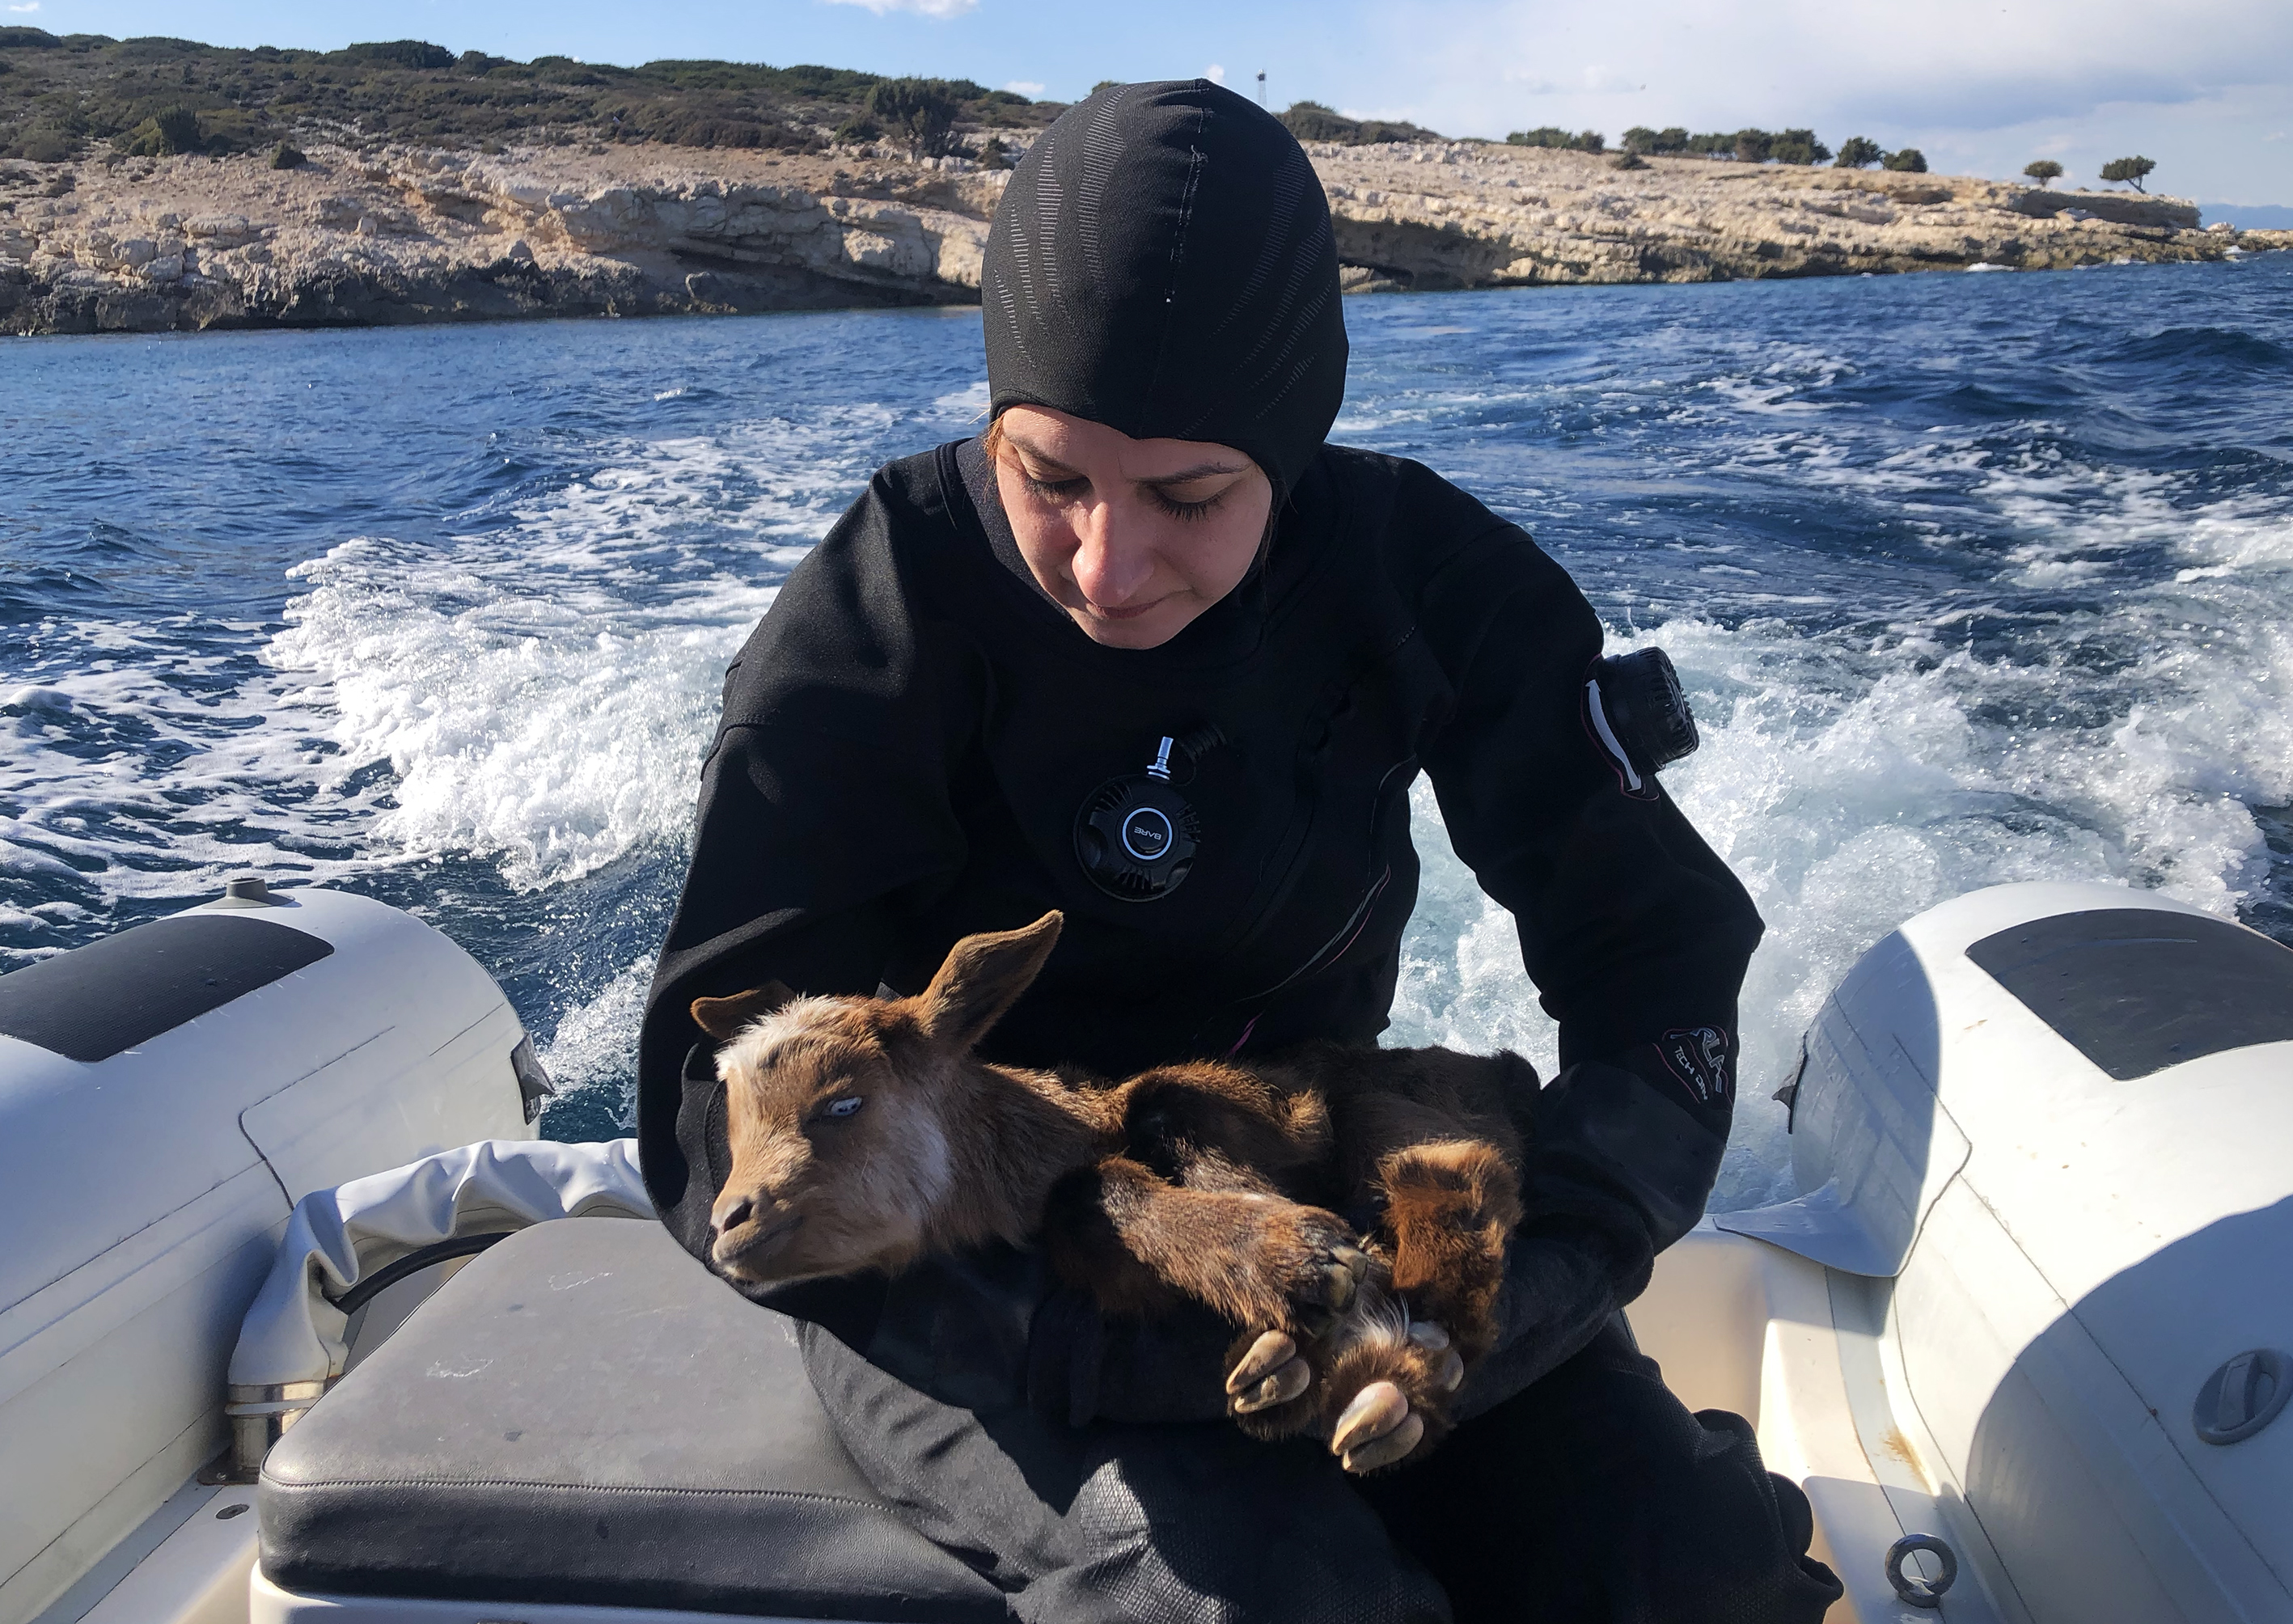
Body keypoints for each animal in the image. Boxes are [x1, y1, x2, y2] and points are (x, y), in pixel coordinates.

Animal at [692, 911, 1530, 1471]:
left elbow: (1150, 1129)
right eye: (730, 1117)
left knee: (1456, 1169)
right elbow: (1088, 1208)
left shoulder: (1242, 1103)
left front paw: (1300, 1265)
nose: (728, 1223)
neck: (1060, 1132)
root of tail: (1508, 1066)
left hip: (1400, 1100)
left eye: (843, 1104)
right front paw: (1290, 1347)